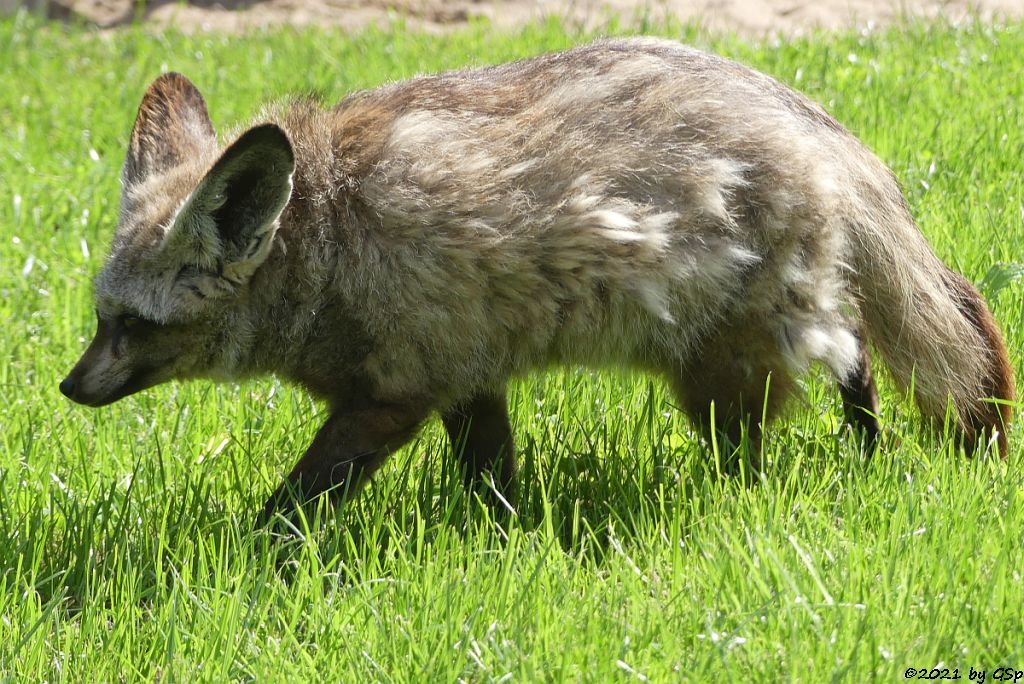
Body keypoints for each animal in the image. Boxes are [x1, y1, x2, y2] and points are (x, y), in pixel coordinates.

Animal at [59, 38, 1011, 524]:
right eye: (102, 316)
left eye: (133, 325)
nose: (68, 388)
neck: (330, 241)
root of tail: (816, 123)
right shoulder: (465, 379)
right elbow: (492, 484)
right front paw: (500, 541)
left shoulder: (392, 396)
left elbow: (294, 501)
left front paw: (261, 554)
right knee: (856, 352)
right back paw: (866, 454)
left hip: (720, 377)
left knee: (818, 386)